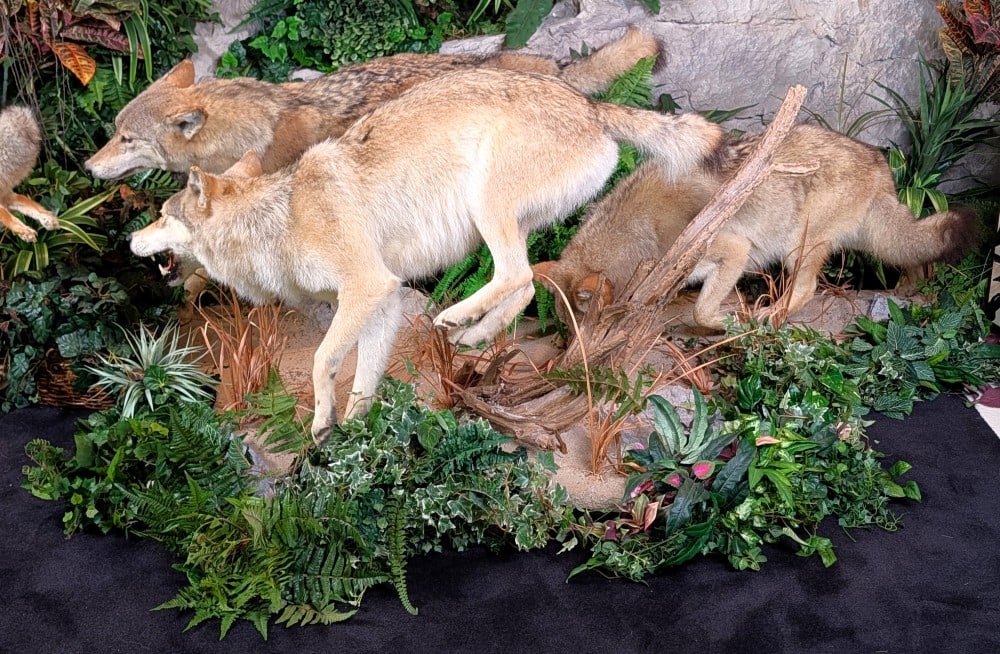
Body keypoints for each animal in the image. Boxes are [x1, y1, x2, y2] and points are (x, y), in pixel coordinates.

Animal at [129, 67, 723, 438]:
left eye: (162, 214)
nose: (130, 239)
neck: (282, 218)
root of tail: (590, 105)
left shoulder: (367, 286)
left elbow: (324, 359)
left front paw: (321, 423)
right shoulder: (384, 300)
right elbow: (364, 382)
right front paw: (357, 436)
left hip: (486, 206)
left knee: (514, 278)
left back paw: (455, 318)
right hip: (509, 225)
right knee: (525, 284)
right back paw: (472, 336)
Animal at [532, 123, 979, 330]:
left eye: (584, 329)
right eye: (566, 332)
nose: (570, 368)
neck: (640, 234)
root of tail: (881, 167)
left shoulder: (735, 250)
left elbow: (701, 311)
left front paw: (729, 321)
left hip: (798, 249)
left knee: (806, 290)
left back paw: (767, 317)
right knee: (917, 262)